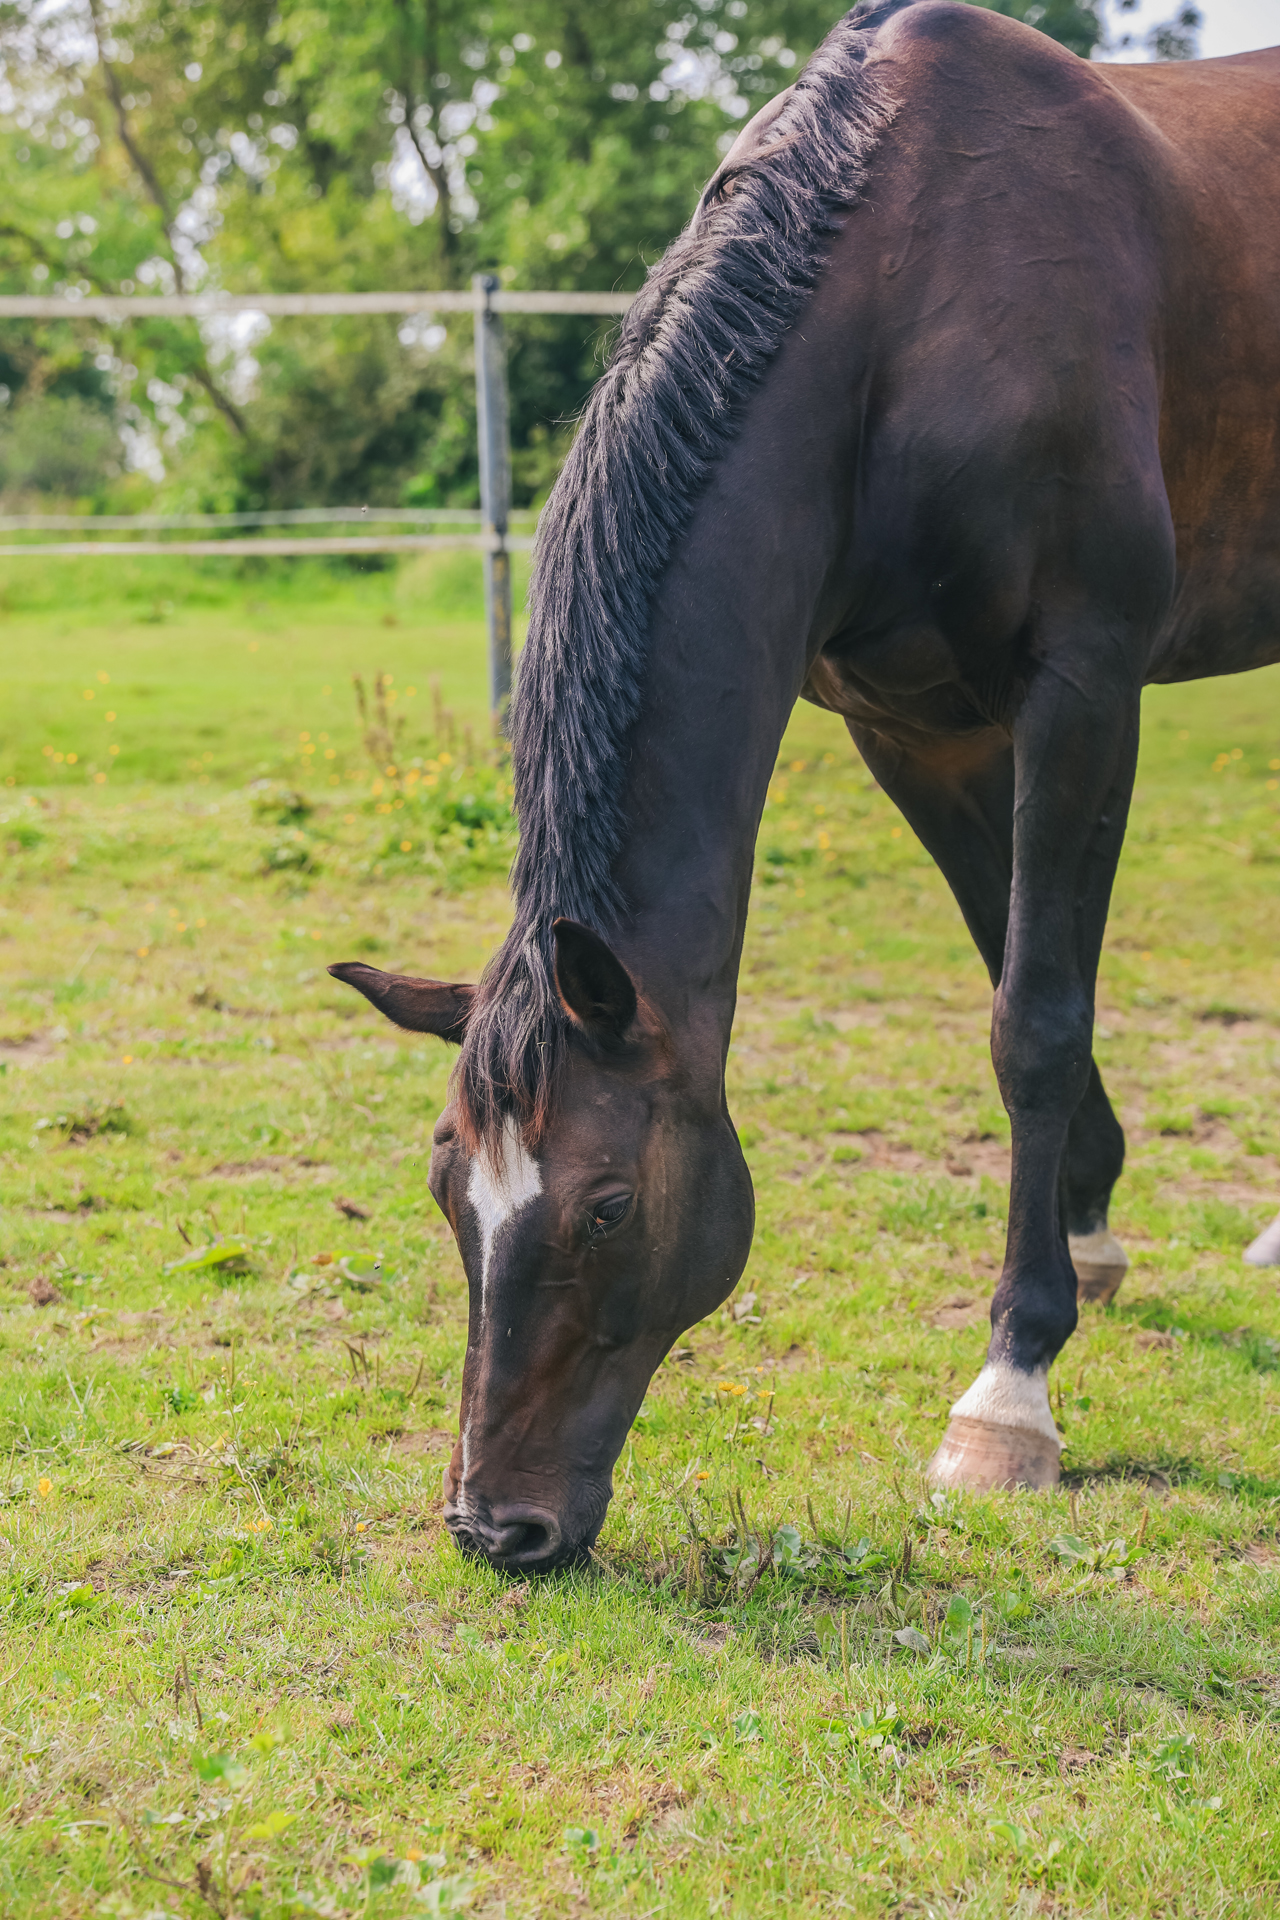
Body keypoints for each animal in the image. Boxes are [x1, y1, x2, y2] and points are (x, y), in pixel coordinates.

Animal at [333, 3, 1280, 1574]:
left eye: (606, 1208)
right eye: (445, 1189)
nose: (494, 1524)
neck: (911, 307)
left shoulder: (1082, 688)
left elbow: (1034, 1018)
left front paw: (1011, 1387)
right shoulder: (918, 730)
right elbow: (1013, 977)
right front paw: (1086, 1227)